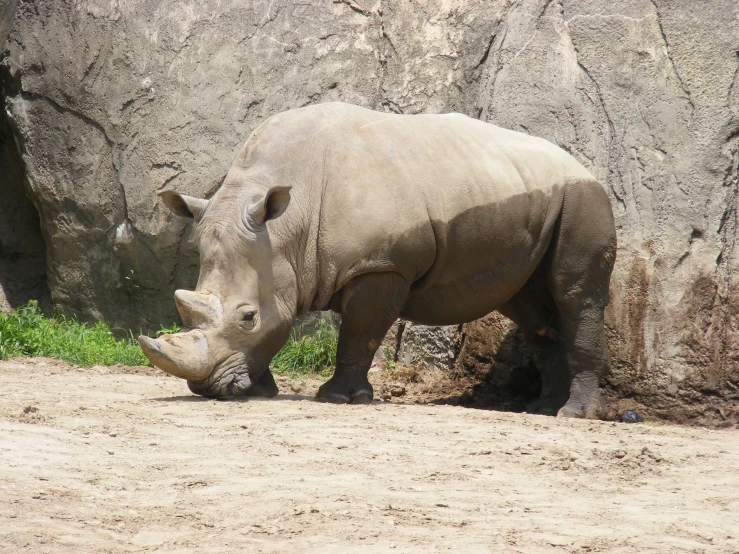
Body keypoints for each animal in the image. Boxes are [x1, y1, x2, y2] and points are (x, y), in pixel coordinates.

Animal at [139, 101, 620, 416]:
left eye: (247, 317)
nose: (205, 388)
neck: (284, 230)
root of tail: (582, 166)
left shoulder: (380, 264)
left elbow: (361, 333)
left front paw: (338, 399)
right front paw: (262, 391)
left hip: (583, 197)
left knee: (575, 295)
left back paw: (573, 415)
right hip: (527, 196)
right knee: (527, 304)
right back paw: (542, 410)